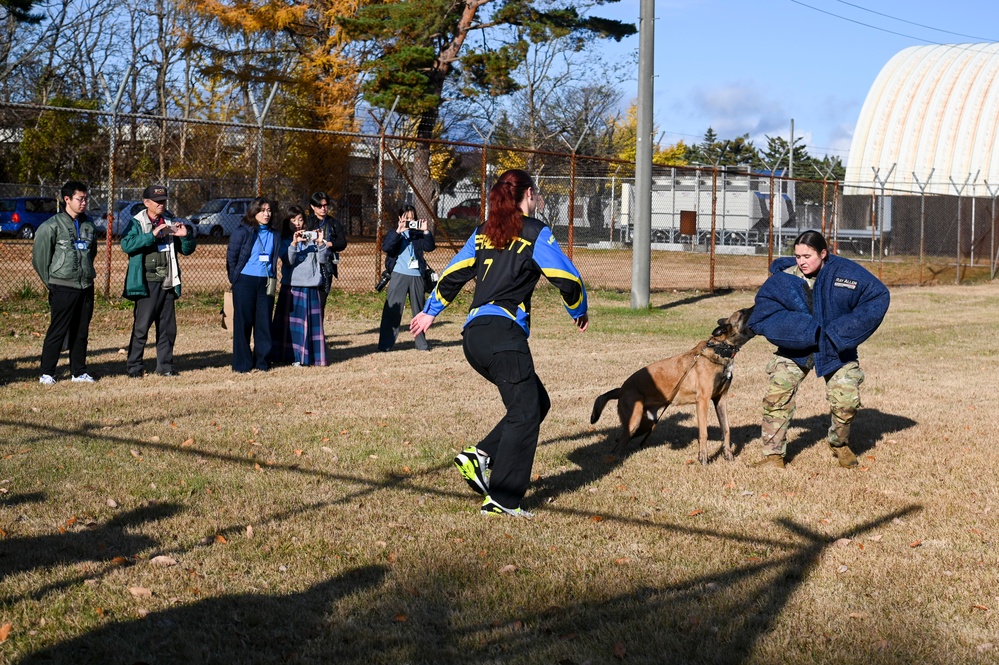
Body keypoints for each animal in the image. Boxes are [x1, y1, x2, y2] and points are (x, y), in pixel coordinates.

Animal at [588, 308, 752, 464]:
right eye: (743, 312)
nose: (755, 306)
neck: (720, 349)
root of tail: (621, 389)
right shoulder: (703, 401)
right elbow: (704, 432)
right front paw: (703, 458)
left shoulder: (720, 399)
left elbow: (726, 429)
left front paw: (728, 455)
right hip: (634, 421)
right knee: (619, 444)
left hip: (645, 423)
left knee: (620, 441)